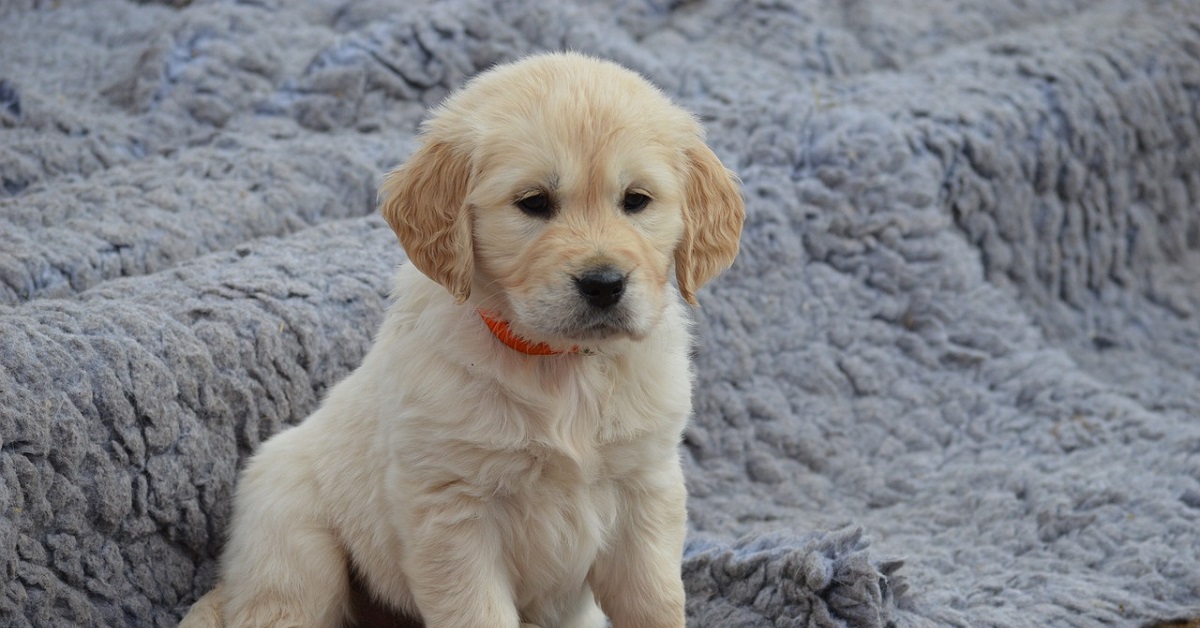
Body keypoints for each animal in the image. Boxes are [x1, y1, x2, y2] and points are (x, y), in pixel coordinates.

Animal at [180, 52, 739, 628]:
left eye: (636, 200)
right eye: (533, 203)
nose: (604, 284)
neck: (560, 365)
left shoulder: (645, 489)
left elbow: (653, 600)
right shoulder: (453, 510)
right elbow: (477, 611)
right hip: (293, 542)